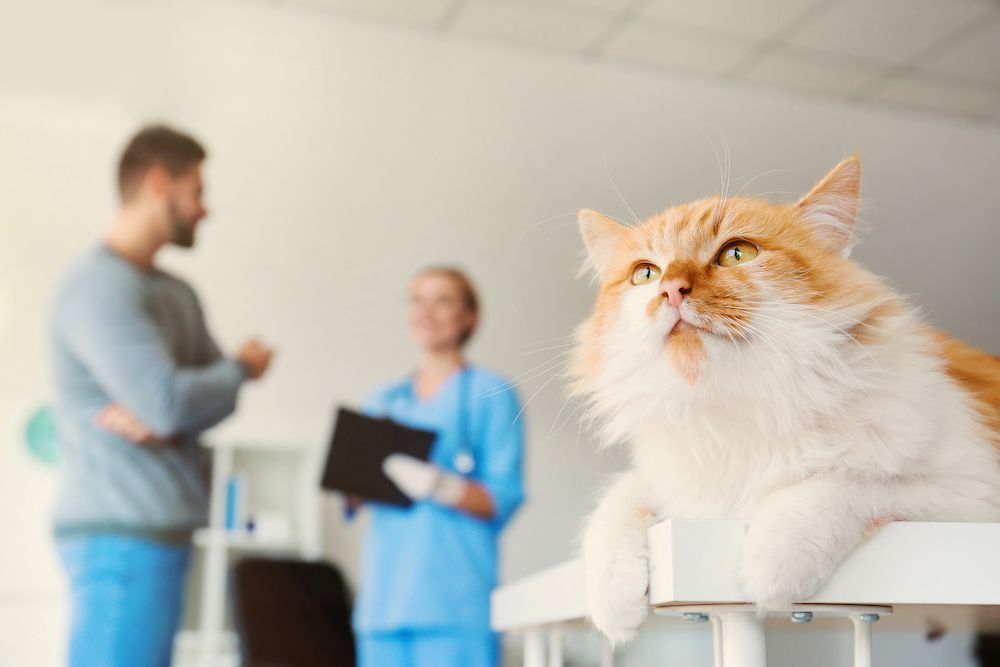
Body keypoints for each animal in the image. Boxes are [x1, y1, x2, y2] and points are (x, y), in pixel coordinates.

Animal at [572, 154, 1000, 644]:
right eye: (645, 274)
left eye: (737, 253)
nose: (671, 290)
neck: (739, 405)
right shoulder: (678, 478)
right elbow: (615, 504)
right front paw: (614, 603)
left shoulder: (971, 492)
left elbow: (846, 483)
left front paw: (771, 564)